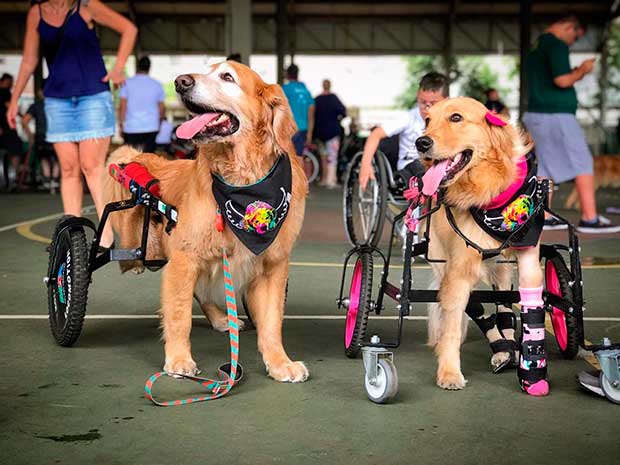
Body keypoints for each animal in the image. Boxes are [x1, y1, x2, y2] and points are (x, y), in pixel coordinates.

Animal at [104, 60, 312, 380]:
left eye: (227, 77)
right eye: (206, 69)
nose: (180, 82)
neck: (244, 183)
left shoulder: (272, 266)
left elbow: (271, 321)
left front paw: (280, 363)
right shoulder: (184, 257)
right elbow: (179, 314)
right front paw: (178, 359)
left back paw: (220, 318)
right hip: (137, 243)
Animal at [416, 97, 548, 396]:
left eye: (456, 118)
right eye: (427, 120)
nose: (421, 142)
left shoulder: (528, 257)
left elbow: (528, 307)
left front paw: (532, 373)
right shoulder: (459, 267)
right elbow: (453, 324)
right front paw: (449, 372)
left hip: (501, 268)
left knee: (504, 306)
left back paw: (507, 348)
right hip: (443, 261)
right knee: (477, 308)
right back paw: (501, 349)